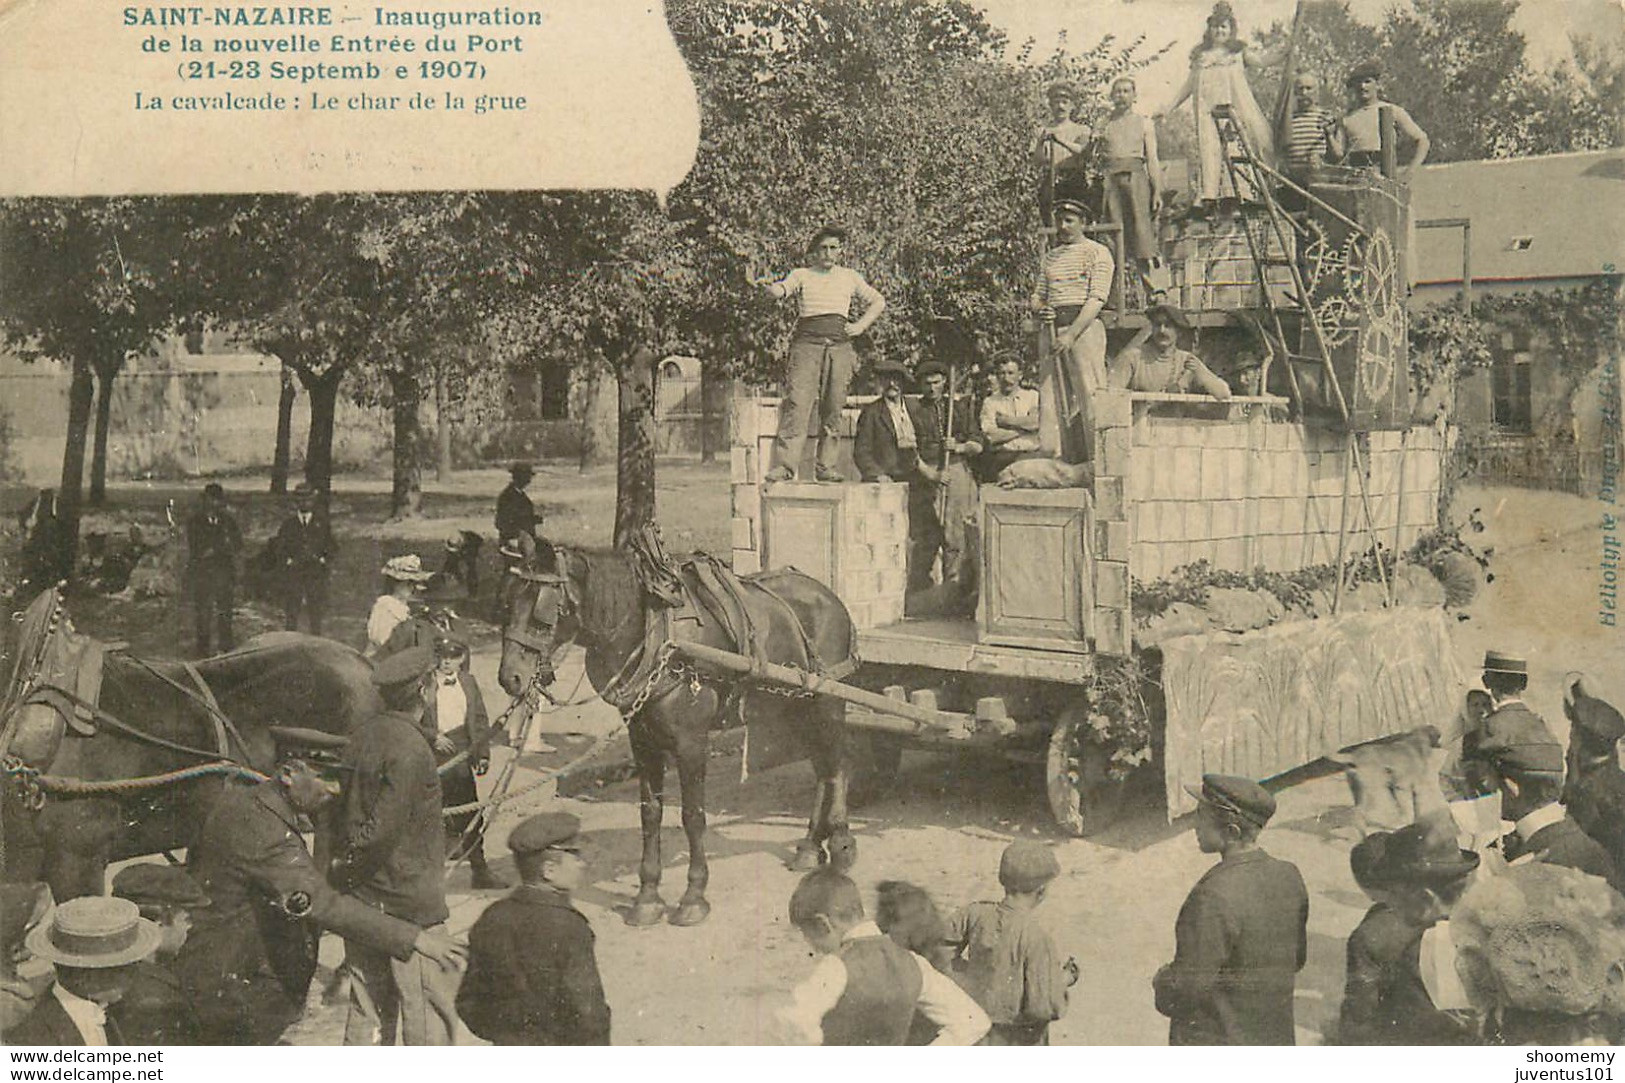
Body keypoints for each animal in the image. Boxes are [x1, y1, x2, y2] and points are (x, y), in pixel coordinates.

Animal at [497, 536, 864, 917]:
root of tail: (828, 594)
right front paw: (647, 896)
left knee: (838, 765)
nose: (511, 678)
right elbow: (651, 814)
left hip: (827, 702)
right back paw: (809, 846)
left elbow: (692, 815)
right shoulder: (642, 741)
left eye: (540, 610)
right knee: (822, 769)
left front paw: (693, 895)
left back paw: (841, 844)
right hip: (797, 705)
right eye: (506, 601)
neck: (656, 634)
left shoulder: (691, 742)